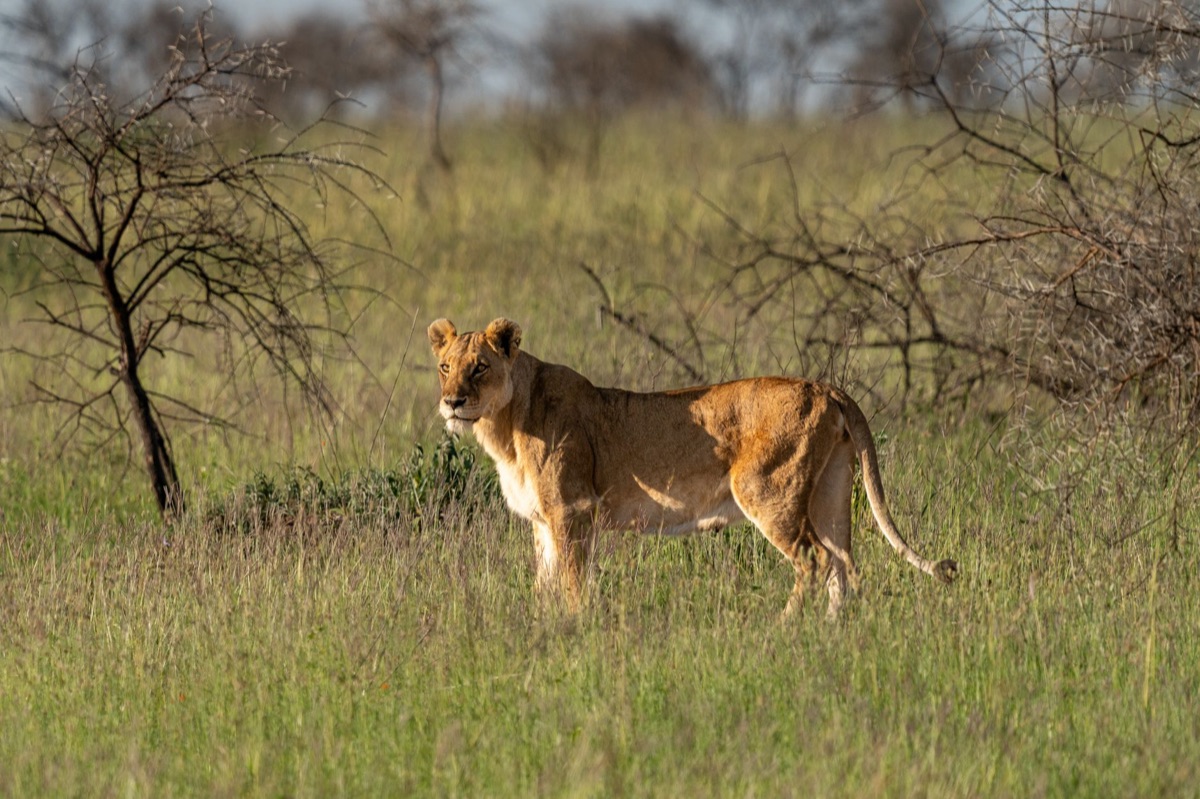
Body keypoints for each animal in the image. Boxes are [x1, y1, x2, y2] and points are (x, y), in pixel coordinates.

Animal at [428, 317, 957, 618]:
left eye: (480, 367)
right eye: (445, 367)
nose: (452, 402)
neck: (504, 425)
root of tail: (826, 387)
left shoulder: (572, 511)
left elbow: (574, 584)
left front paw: (574, 633)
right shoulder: (544, 522)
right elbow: (545, 584)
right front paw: (541, 631)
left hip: (769, 493)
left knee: (816, 561)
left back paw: (783, 633)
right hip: (830, 494)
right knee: (845, 565)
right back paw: (832, 636)